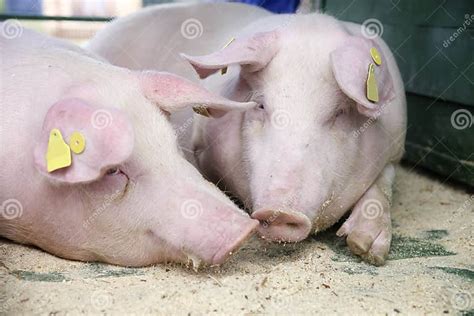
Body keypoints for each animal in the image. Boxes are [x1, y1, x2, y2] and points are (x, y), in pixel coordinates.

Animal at [88, 3, 408, 264]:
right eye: (261, 105)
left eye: (338, 113)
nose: (280, 211)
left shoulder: (395, 149)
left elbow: (384, 182)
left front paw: (367, 250)